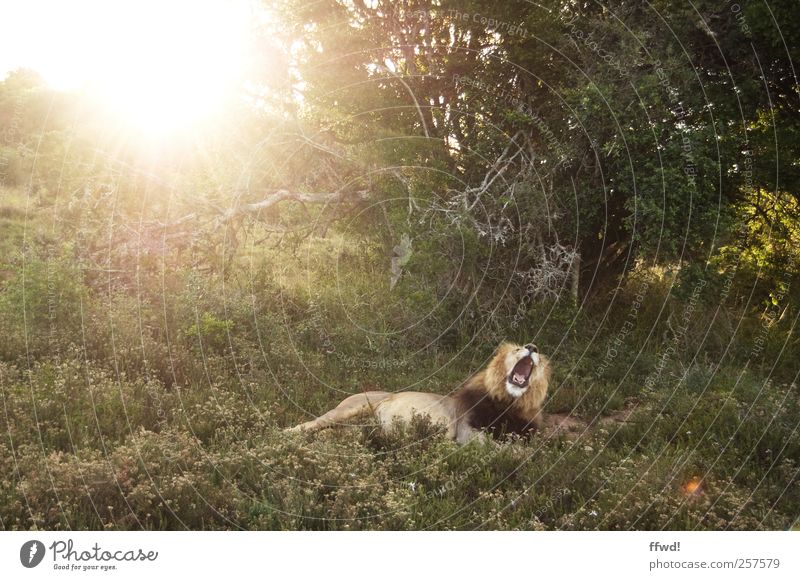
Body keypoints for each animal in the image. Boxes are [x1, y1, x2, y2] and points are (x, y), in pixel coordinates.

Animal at [288, 340, 552, 444]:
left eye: (537, 354)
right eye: (517, 349)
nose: (532, 347)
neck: (509, 403)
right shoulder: (464, 429)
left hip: (361, 430)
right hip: (350, 408)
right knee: (311, 424)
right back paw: (286, 434)